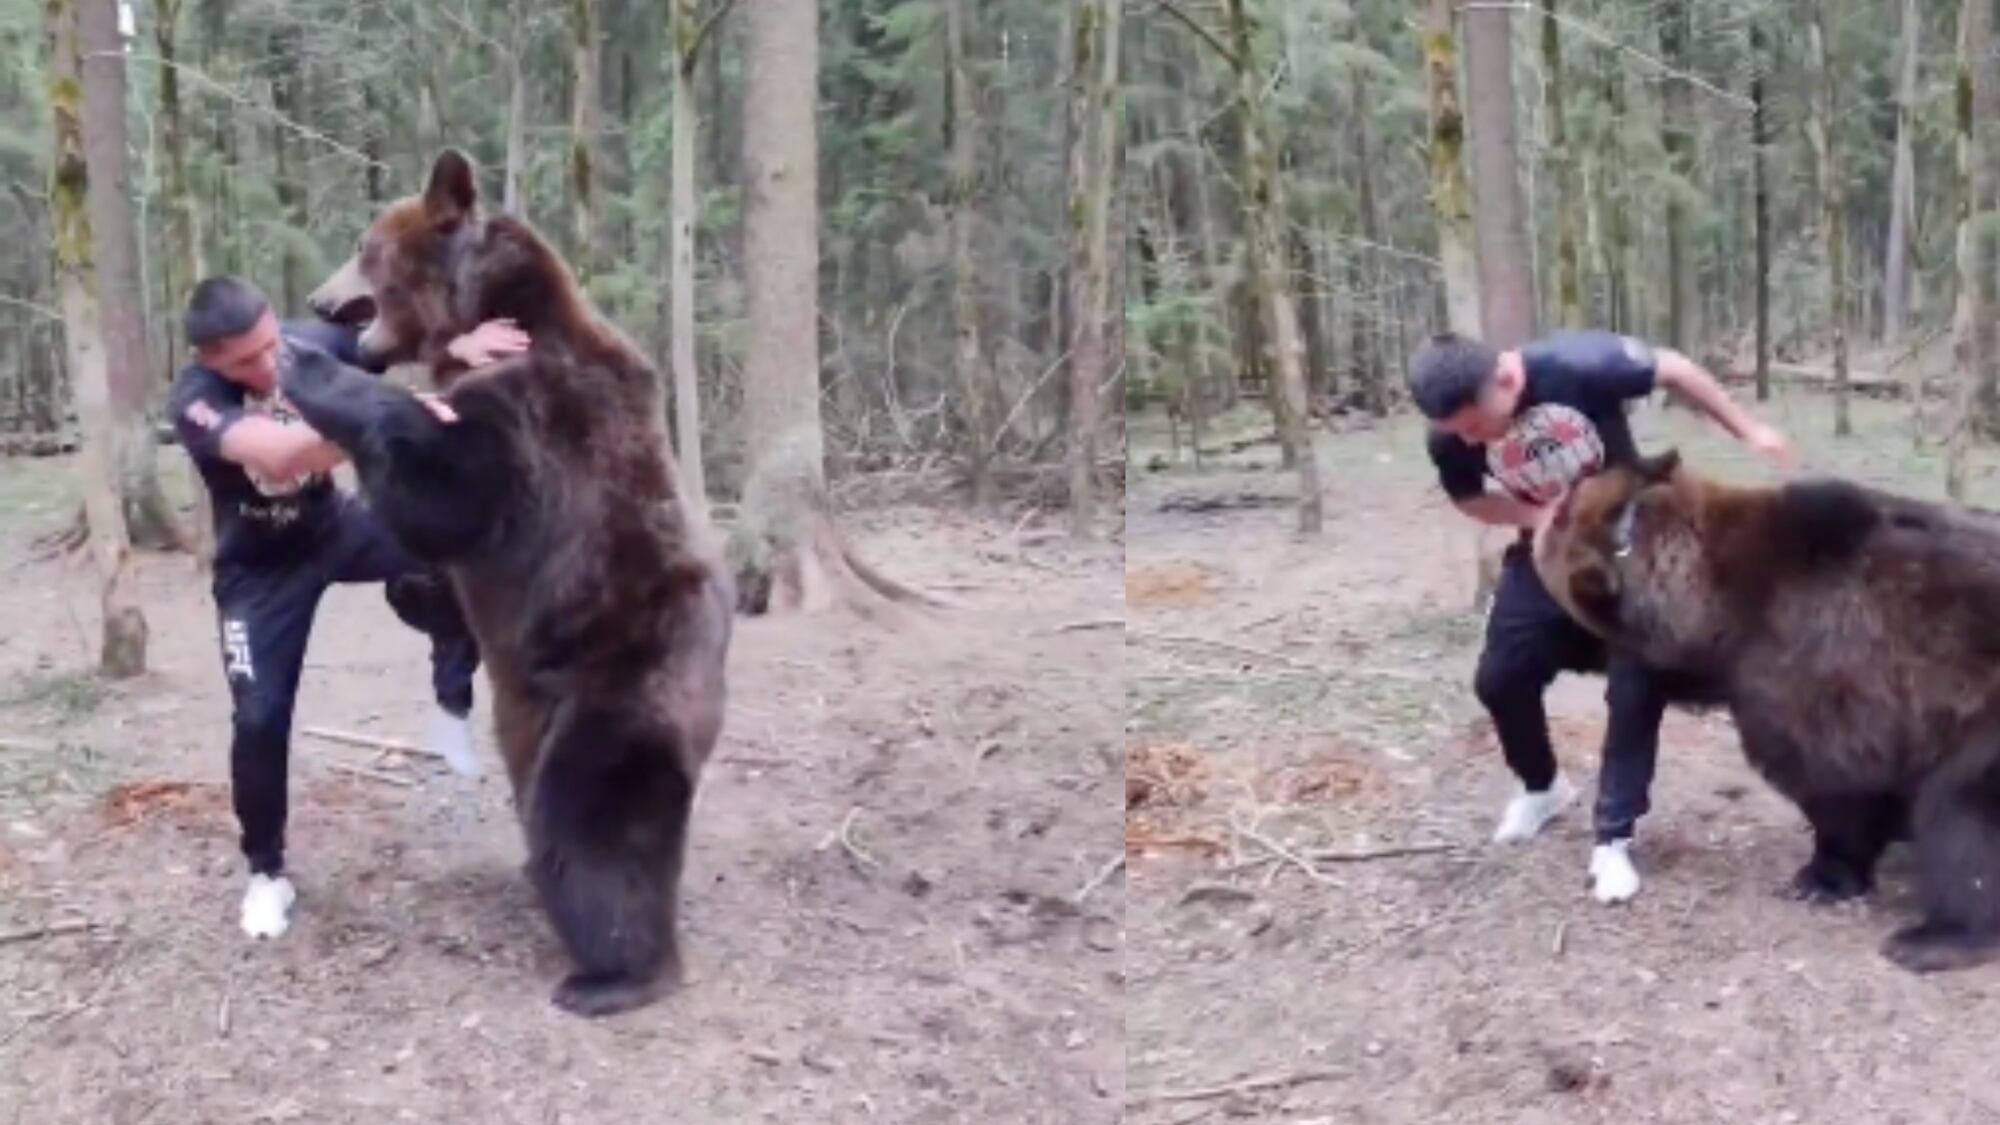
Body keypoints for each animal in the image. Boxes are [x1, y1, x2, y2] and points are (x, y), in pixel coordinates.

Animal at [280, 147, 734, 1017]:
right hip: (534, 711)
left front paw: (306, 363)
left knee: (592, 819)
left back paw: (613, 972)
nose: (318, 300)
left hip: (618, 689)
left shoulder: (531, 419)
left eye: (364, 246)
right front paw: (419, 594)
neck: (482, 321)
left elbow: (441, 484)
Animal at [1529, 447, 2000, 973]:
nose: (1545, 503)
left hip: (1985, 722)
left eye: (1562, 511)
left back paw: (1935, 936)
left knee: (1959, 814)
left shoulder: (1813, 674)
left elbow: (1838, 791)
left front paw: (1822, 875)